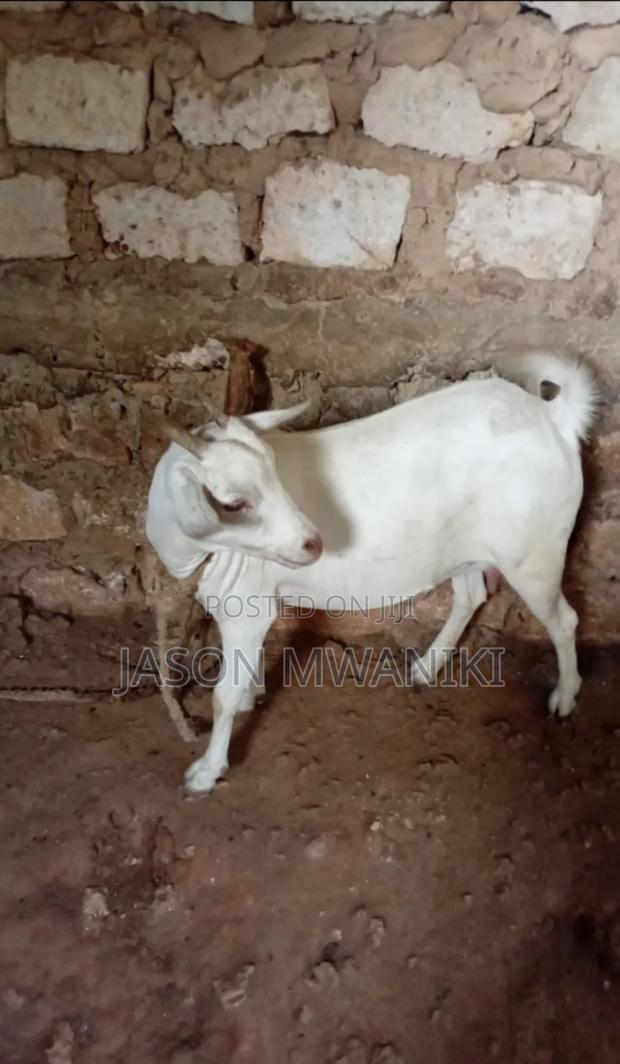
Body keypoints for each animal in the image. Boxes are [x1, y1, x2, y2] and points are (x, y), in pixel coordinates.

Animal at [146, 352, 597, 797]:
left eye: (275, 472)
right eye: (233, 503)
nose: (314, 543)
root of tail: (552, 416)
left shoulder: (244, 603)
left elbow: (222, 694)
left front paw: (206, 771)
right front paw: (250, 694)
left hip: (534, 552)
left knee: (563, 620)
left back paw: (564, 696)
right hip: (465, 547)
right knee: (471, 595)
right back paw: (426, 667)